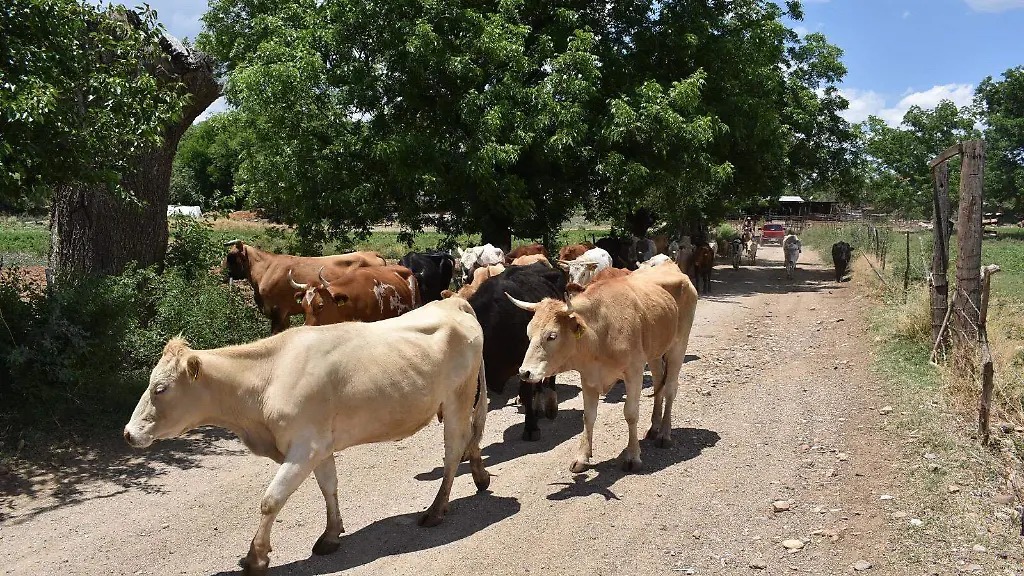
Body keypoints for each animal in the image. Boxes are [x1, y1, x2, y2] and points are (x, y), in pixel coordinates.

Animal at [123, 295, 491, 573]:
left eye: (160, 388)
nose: (128, 433)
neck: (267, 380)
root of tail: (451, 302)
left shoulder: (305, 447)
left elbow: (271, 500)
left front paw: (256, 557)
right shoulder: (320, 445)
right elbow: (329, 487)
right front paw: (331, 535)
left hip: (458, 397)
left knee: (453, 450)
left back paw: (436, 511)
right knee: (470, 439)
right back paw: (479, 476)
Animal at [223, 238, 385, 332]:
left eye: (230, 256)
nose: (223, 273)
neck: (266, 269)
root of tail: (372, 253)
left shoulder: (278, 312)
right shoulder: (285, 315)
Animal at [507, 260, 700, 471]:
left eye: (552, 335)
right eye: (528, 333)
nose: (524, 372)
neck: (600, 332)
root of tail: (670, 264)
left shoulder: (634, 371)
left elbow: (631, 413)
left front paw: (633, 456)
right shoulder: (588, 376)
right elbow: (588, 416)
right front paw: (582, 457)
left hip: (678, 345)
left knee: (670, 388)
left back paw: (665, 434)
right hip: (655, 353)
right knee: (659, 383)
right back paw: (654, 428)